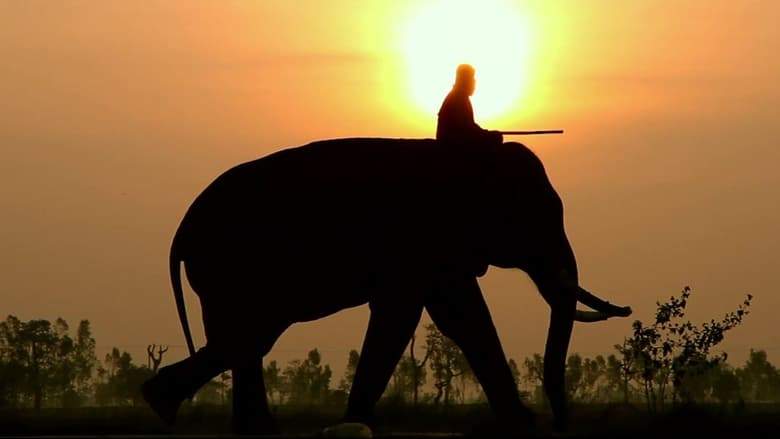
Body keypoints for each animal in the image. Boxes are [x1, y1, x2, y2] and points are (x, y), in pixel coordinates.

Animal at [141, 138, 632, 434]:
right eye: (533, 219)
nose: (559, 424)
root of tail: (181, 230)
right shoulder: (416, 242)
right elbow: (411, 316)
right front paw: (355, 424)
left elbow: (460, 317)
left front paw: (519, 426)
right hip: (232, 268)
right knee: (247, 338)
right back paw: (169, 403)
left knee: (246, 341)